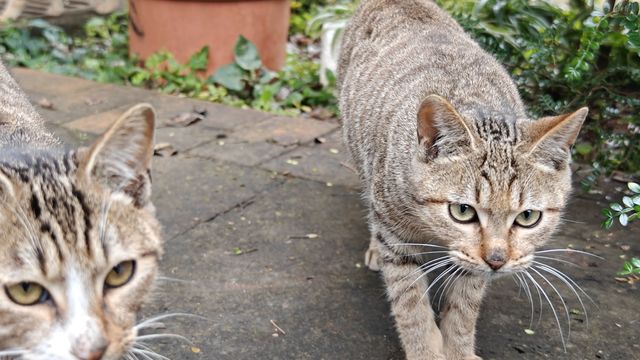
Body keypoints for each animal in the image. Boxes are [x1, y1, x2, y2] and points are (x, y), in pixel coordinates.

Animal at [338, 0, 588, 360]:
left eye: (528, 217)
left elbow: (463, 307)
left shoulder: (472, 268)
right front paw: (425, 352)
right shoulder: (397, 238)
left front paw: (458, 349)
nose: (497, 261)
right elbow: (411, 305)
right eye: (463, 211)